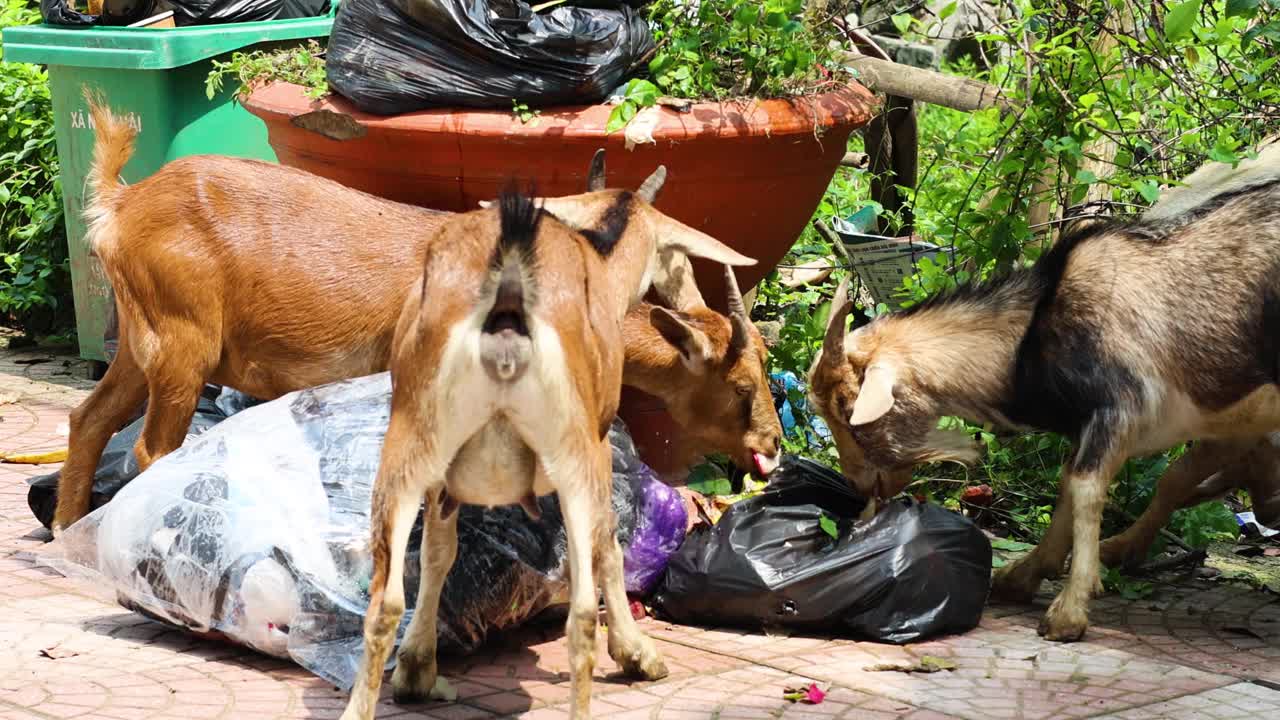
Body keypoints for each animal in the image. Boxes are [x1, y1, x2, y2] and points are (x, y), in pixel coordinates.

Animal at [57, 94, 778, 532]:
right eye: (741, 383)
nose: (771, 443)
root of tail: (119, 205)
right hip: (182, 344)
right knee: (153, 448)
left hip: (141, 338)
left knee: (89, 419)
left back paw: (68, 528)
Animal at [808, 167, 1280, 638]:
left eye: (849, 411)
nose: (858, 485)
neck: (1030, 334)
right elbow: (1070, 484)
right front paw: (1023, 575)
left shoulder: (1122, 406)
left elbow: (1086, 486)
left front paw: (1068, 611)